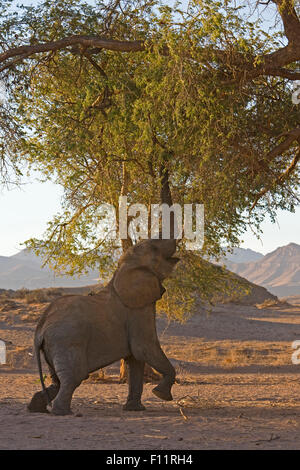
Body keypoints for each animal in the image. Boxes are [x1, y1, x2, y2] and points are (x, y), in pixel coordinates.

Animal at [27, 239, 178, 414]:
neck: (122, 270)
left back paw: (36, 408)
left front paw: (135, 409)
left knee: (57, 381)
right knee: (74, 377)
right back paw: (63, 412)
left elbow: (135, 359)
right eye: (154, 248)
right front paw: (160, 394)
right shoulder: (137, 310)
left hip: (52, 346)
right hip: (65, 341)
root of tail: (40, 328)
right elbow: (144, 348)